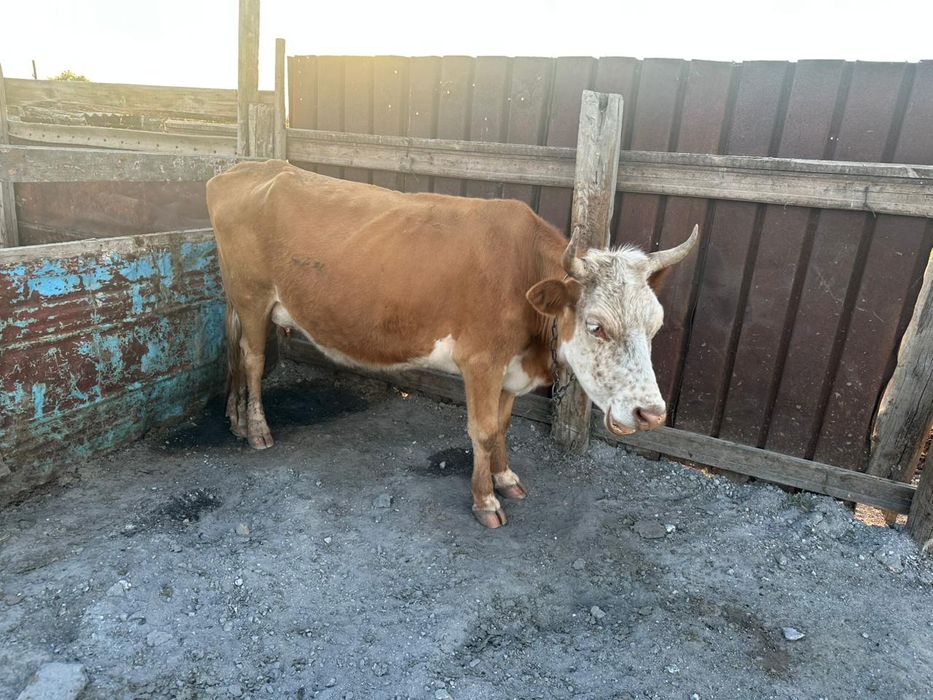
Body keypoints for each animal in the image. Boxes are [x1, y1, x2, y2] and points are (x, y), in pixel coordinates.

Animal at [206, 160, 698, 528]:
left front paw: (505, 478)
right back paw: (257, 430)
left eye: (655, 325)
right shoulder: (480, 360)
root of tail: (247, 168)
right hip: (252, 295)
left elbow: (501, 427)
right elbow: (480, 430)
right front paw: (485, 501)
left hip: (239, 297)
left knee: (233, 349)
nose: (651, 414)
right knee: (253, 358)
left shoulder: (509, 367)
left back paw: (234, 419)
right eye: (596, 326)